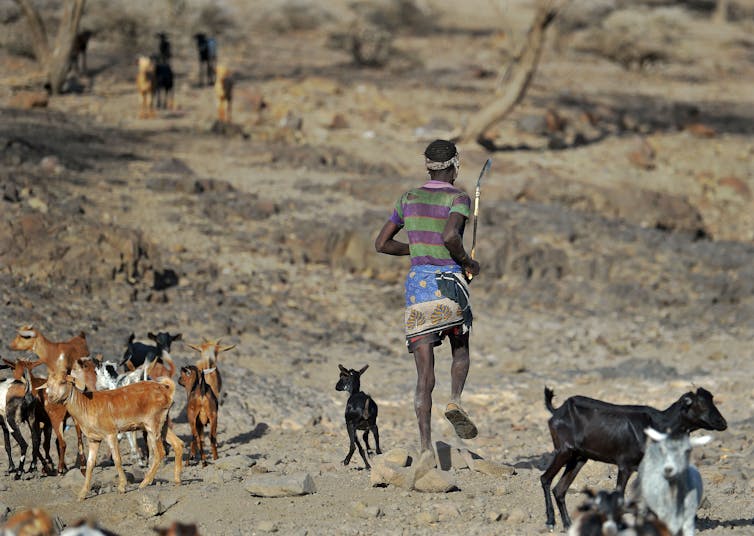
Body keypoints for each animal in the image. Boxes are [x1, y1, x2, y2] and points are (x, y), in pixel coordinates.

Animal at [44, 353, 183, 500]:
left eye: (63, 382)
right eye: (48, 384)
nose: (51, 398)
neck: (86, 405)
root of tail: (167, 391)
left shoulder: (111, 434)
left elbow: (117, 459)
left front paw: (122, 487)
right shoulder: (93, 440)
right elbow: (90, 464)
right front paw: (82, 494)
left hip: (152, 425)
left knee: (160, 453)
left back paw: (144, 483)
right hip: (163, 424)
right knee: (178, 444)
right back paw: (177, 480)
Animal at [541, 386, 727, 530]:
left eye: (712, 400)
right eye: (700, 403)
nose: (722, 423)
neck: (657, 426)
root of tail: (557, 411)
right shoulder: (625, 465)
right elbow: (621, 498)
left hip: (578, 457)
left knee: (559, 489)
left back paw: (567, 525)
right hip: (564, 450)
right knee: (545, 479)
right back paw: (550, 521)